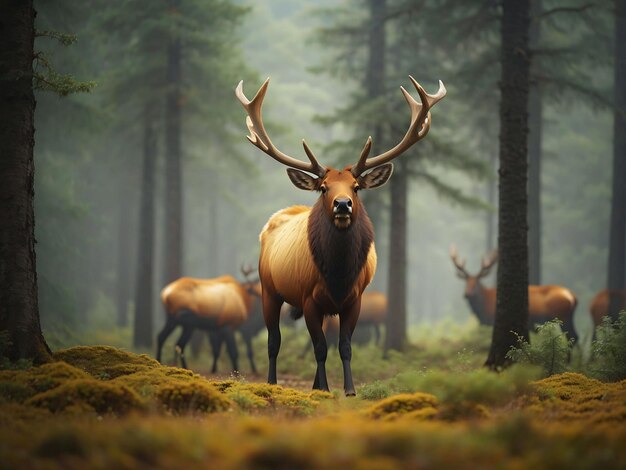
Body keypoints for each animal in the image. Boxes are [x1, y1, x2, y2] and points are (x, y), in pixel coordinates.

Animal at [235, 75, 444, 394]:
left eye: (356, 186)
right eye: (323, 187)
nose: (342, 204)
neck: (338, 273)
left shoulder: (354, 299)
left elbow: (344, 346)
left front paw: (347, 388)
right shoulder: (308, 297)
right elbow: (319, 348)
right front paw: (324, 388)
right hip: (268, 288)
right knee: (274, 340)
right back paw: (272, 381)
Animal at [446, 246, 576, 342]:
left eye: (476, 283)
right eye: (466, 282)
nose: (467, 294)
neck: (481, 310)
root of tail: (572, 296)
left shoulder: (491, 320)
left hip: (562, 315)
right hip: (569, 317)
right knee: (575, 337)